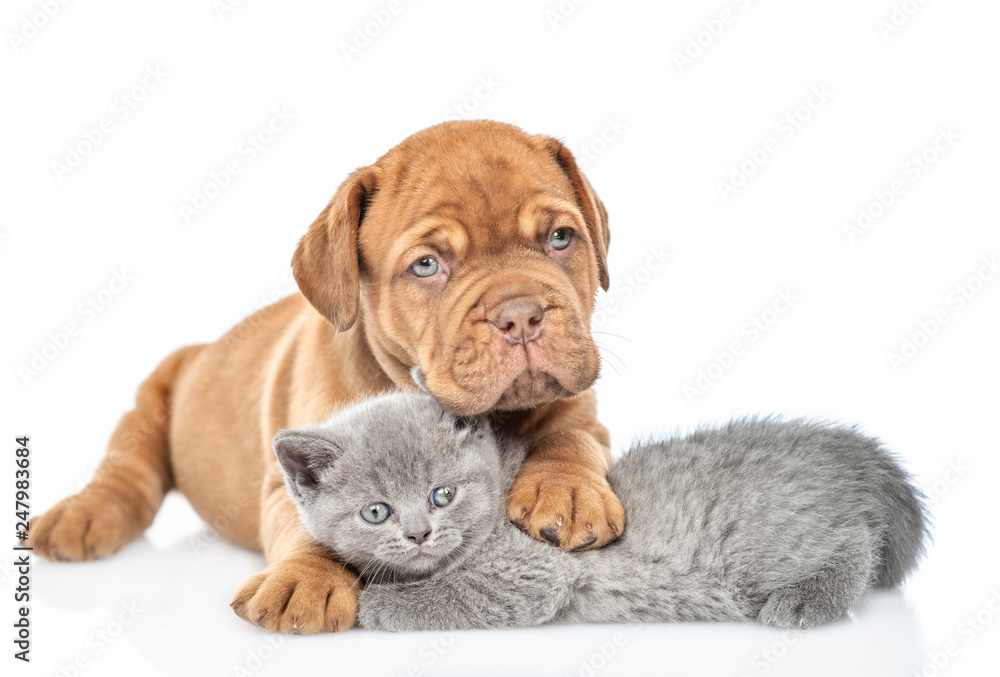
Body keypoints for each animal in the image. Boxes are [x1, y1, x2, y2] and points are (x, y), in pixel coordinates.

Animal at [27, 120, 620, 632]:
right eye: (426, 265)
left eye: (561, 237)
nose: (520, 314)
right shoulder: (286, 476)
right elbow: (309, 523)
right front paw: (304, 580)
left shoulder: (583, 415)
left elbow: (572, 438)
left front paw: (569, 491)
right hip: (151, 401)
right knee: (127, 469)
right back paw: (82, 515)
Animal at [274, 390, 928, 628]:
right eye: (376, 512)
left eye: (442, 495)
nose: (417, 533)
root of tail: (837, 449)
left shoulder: (532, 569)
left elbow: (444, 597)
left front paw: (372, 601)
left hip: (764, 540)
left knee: (855, 543)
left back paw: (804, 603)